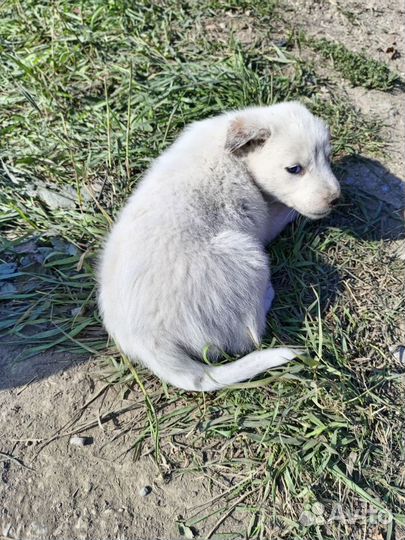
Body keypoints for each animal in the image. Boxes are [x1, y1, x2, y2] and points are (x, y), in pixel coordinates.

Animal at [97, 101, 338, 390]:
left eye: (328, 158)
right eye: (294, 169)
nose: (336, 199)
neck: (234, 156)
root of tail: (149, 344)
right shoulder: (264, 221)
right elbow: (287, 210)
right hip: (246, 254)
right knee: (250, 335)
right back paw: (268, 294)